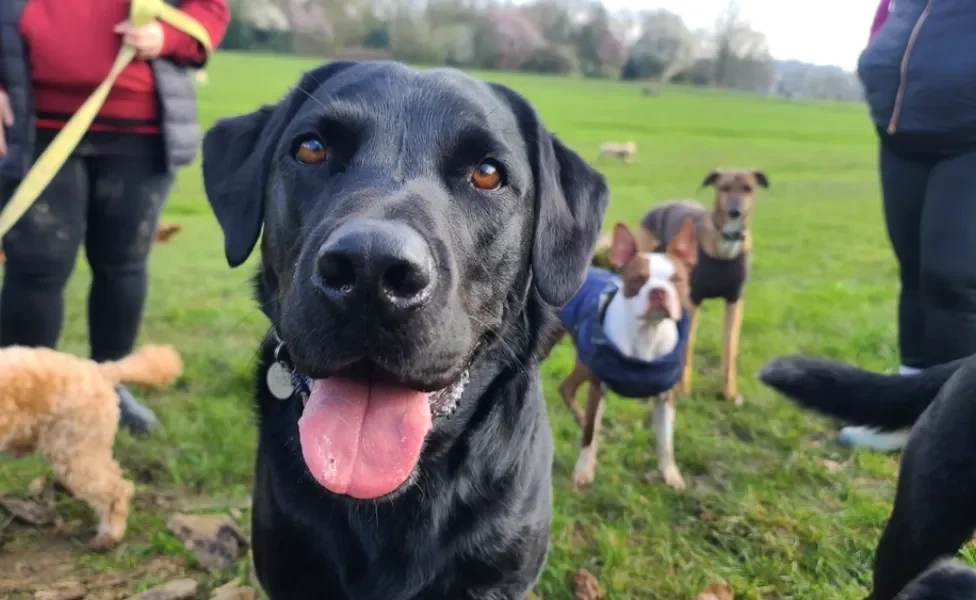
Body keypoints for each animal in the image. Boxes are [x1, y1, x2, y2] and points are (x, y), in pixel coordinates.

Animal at [608, 166, 772, 406]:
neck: (724, 247)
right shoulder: (692, 301)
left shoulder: (734, 301)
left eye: (747, 188)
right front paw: (682, 390)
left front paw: (729, 392)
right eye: (724, 187)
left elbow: (729, 348)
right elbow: (687, 346)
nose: (735, 212)